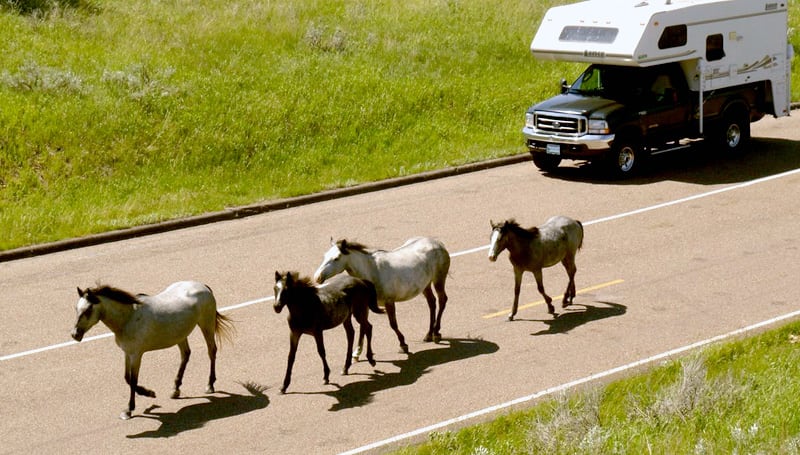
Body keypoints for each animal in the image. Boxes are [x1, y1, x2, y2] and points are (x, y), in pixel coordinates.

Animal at [70, 282, 233, 420]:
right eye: (76, 308)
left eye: (88, 309)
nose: (74, 334)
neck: (128, 318)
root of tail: (203, 286)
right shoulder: (127, 353)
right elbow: (127, 378)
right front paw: (149, 394)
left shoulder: (136, 355)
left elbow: (133, 380)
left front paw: (130, 409)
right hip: (180, 335)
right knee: (185, 354)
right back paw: (175, 389)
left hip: (206, 325)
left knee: (211, 351)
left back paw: (210, 385)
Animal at [312, 237, 450, 358]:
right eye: (325, 255)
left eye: (336, 258)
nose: (317, 277)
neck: (372, 271)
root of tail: (437, 243)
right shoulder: (366, 305)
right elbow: (364, 326)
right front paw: (357, 353)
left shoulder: (389, 302)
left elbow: (393, 324)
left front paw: (403, 345)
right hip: (425, 285)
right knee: (432, 302)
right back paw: (429, 334)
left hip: (439, 280)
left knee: (442, 300)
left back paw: (436, 333)